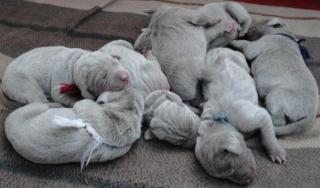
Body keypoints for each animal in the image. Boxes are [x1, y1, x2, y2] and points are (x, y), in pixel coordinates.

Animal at [1, 45, 129, 109]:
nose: (125, 77)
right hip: (23, 83)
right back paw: (54, 105)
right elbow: (58, 95)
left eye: (115, 62)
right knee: (38, 100)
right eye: (103, 77)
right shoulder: (60, 82)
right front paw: (74, 102)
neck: (75, 62)